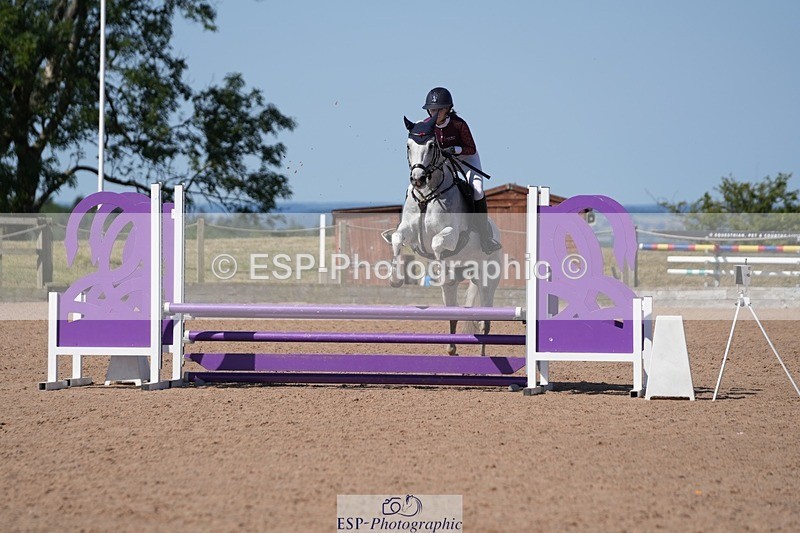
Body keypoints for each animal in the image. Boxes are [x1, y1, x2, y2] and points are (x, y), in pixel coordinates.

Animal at [384, 114, 503, 355]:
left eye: (432, 145)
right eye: (408, 146)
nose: (417, 179)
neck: (427, 195)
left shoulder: (452, 234)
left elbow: (438, 243)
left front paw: (439, 270)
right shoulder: (409, 231)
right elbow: (398, 239)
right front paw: (395, 279)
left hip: (487, 280)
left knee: (486, 321)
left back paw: (482, 354)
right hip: (456, 286)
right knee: (453, 311)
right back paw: (451, 347)